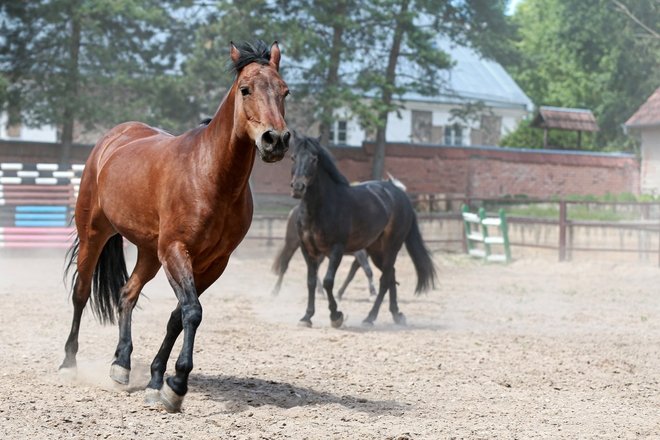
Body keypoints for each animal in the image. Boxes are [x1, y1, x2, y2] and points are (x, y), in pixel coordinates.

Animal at [58, 40, 288, 412]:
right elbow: (192, 312)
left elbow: (177, 317)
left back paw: (121, 366)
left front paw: (157, 382)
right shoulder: (177, 251)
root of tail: (114, 138)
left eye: (285, 91)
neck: (210, 176)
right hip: (94, 232)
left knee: (127, 294)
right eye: (246, 89)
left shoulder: (213, 264)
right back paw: (68, 364)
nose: (276, 140)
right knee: (80, 293)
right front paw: (177, 385)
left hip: (149, 253)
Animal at [290, 136, 436, 328]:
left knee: (384, 280)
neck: (320, 209)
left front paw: (336, 316)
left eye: (314, 159)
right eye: (292, 157)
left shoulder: (336, 249)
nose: (298, 187)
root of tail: (399, 193)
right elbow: (311, 282)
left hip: (391, 247)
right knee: (390, 275)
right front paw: (306, 317)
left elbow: (329, 281)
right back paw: (396, 315)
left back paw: (370, 318)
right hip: (376, 251)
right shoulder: (308, 251)